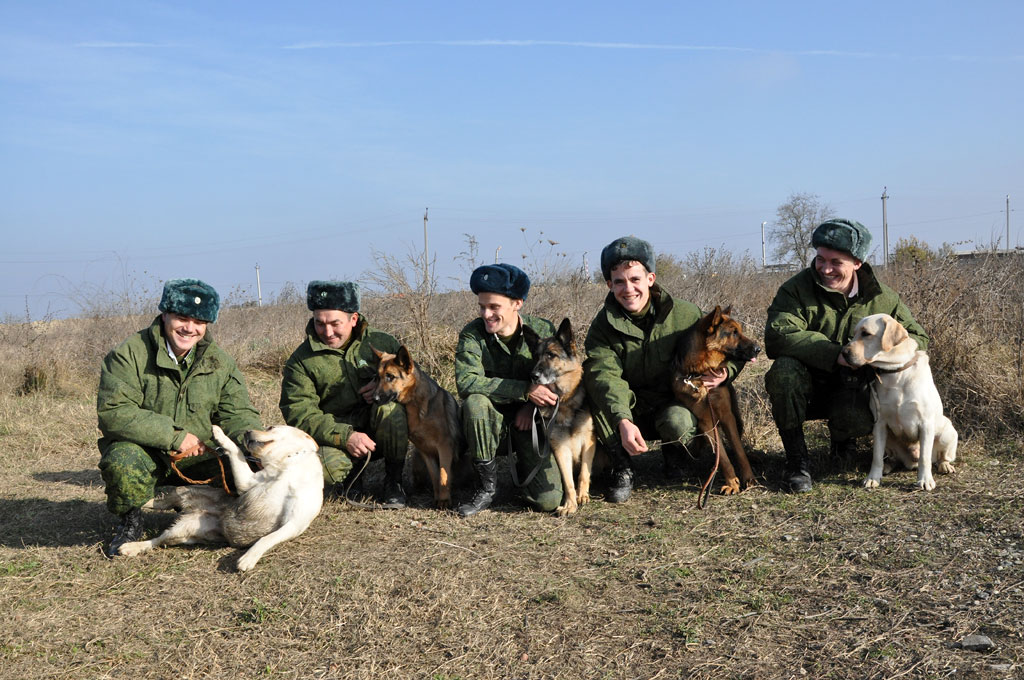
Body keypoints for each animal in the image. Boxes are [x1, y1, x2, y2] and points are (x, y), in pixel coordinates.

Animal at [115, 426, 323, 569]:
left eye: (271, 427)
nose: (247, 432)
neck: (289, 465)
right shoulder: (248, 482)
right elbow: (237, 451)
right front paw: (220, 434)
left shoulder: (294, 524)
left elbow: (266, 539)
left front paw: (248, 557)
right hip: (190, 493)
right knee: (162, 510)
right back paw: (134, 520)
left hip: (183, 529)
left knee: (157, 538)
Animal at [370, 348, 462, 507]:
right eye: (377, 378)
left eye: (390, 377)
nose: (374, 399)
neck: (415, 403)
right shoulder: (425, 451)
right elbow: (435, 476)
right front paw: (438, 498)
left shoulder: (445, 446)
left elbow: (443, 474)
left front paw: (444, 500)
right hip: (417, 460)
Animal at [524, 317, 602, 516]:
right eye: (535, 356)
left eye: (551, 355)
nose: (533, 376)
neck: (564, 400)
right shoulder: (559, 447)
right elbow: (567, 481)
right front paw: (570, 504)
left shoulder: (588, 441)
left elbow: (583, 473)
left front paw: (582, 496)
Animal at [671, 307, 761, 493]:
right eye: (734, 332)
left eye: (740, 330)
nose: (759, 348)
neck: (700, 373)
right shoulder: (706, 422)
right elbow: (723, 458)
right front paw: (732, 483)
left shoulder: (727, 416)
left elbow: (739, 451)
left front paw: (749, 478)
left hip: (738, 419)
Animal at [843, 313, 954, 489]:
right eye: (854, 334)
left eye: (866, 333)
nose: (843, 353)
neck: (895, 373)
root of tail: (910, 462)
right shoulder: (879, 423)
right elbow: (876, 456)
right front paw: (873, 478)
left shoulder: (926, 423)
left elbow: (924, 458)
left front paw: (925, 480)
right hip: (888, 438)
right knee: (891, 457)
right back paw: (887, 467)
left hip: (947, 433)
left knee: (939, 457)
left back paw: (945, 465)